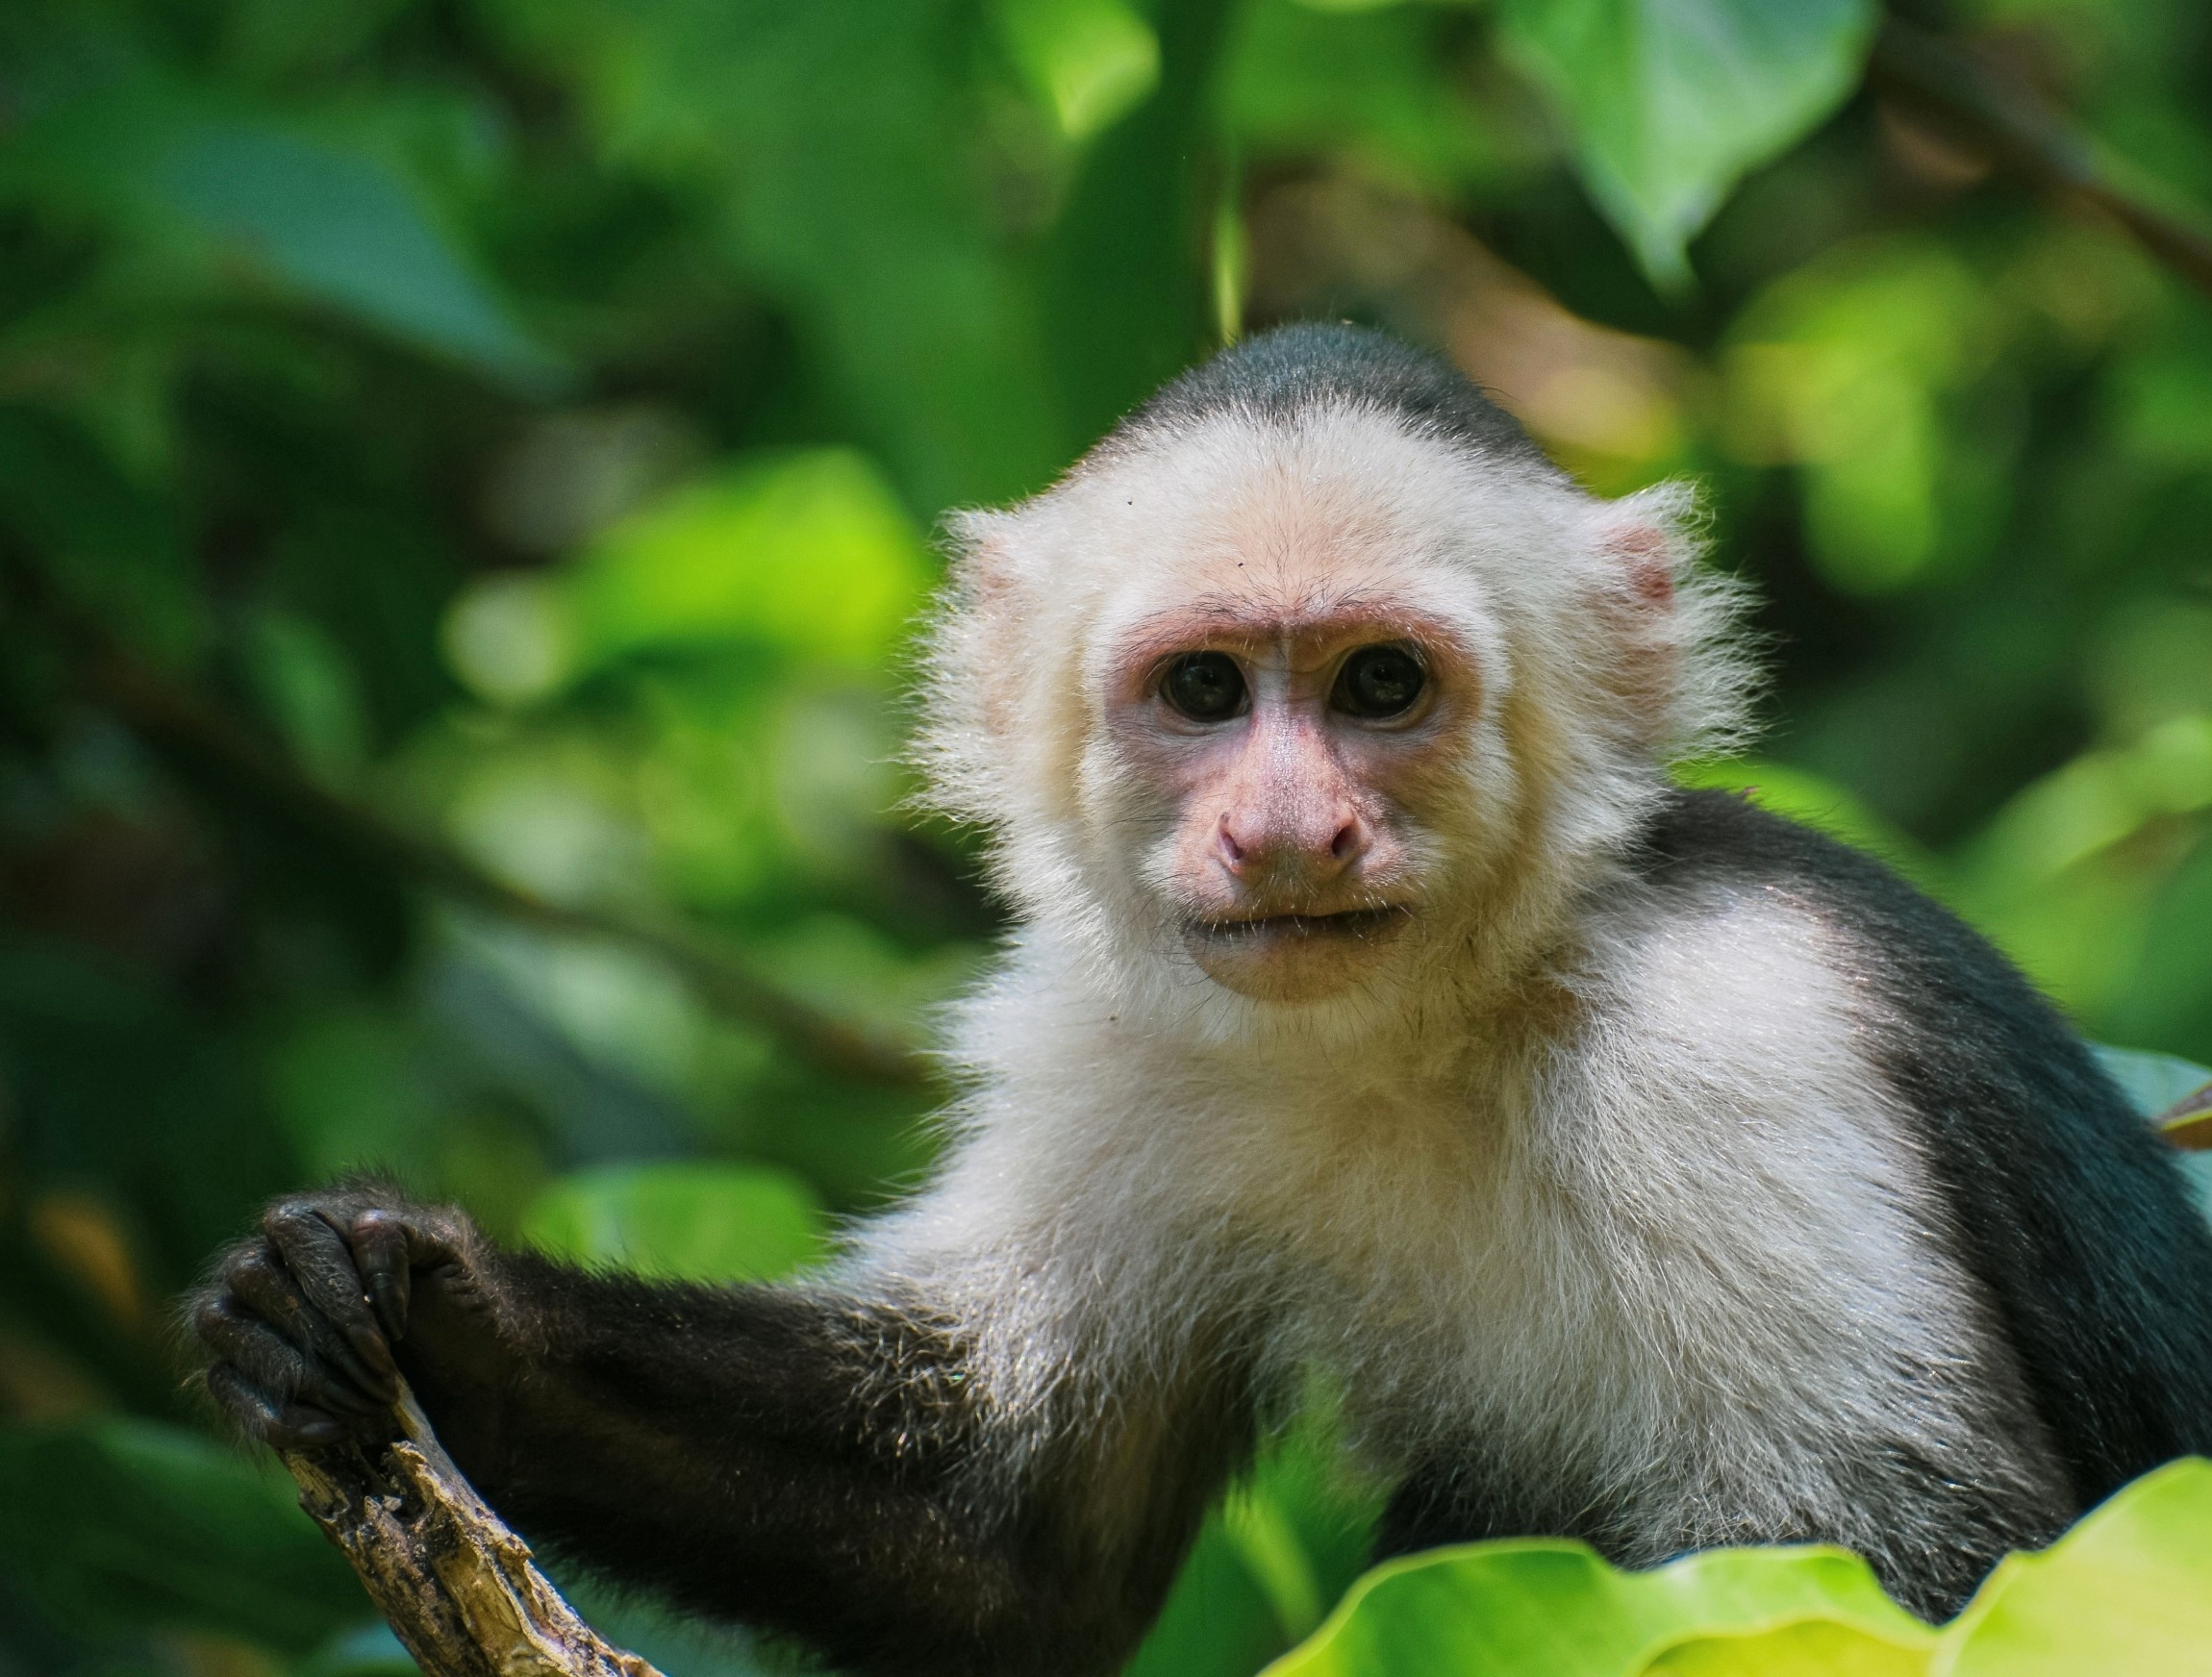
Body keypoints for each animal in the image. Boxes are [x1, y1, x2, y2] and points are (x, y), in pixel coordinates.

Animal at [191, 323, 2212, 1677]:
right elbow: (1004, 1535)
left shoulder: (1737, 1039)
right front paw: (400, 1295)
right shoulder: (1113, 1035)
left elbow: (1899, 1559)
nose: (1287, 827)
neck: (1429, 1029)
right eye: (1207, 691)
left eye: (1384, 684)